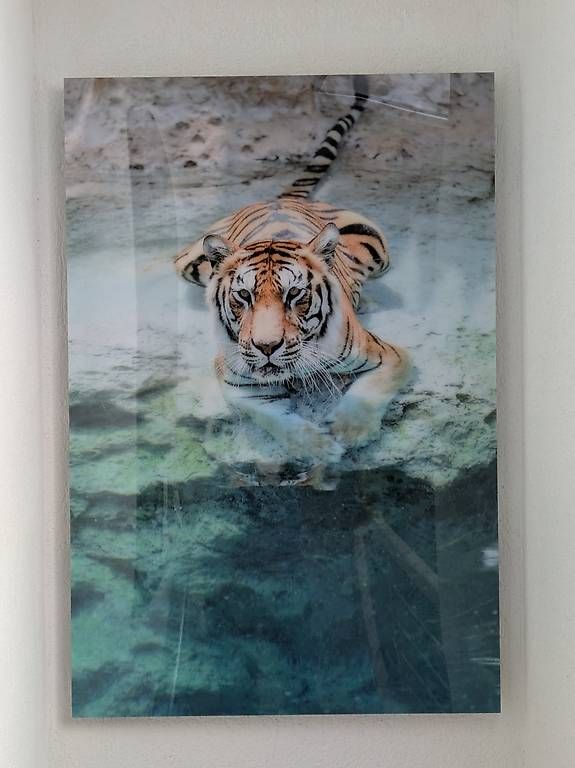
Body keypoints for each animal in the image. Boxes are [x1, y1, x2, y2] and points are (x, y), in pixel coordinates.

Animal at [174, 76, 409, 465]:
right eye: (243, 296)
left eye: (294, 294)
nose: (267, 347)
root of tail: (280, 198)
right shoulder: (237, 384)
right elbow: (276, 420)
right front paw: (319, 449)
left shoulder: (389, 356)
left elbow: (371, 390)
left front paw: (351, 431)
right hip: (189, 262)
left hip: (378, 249)